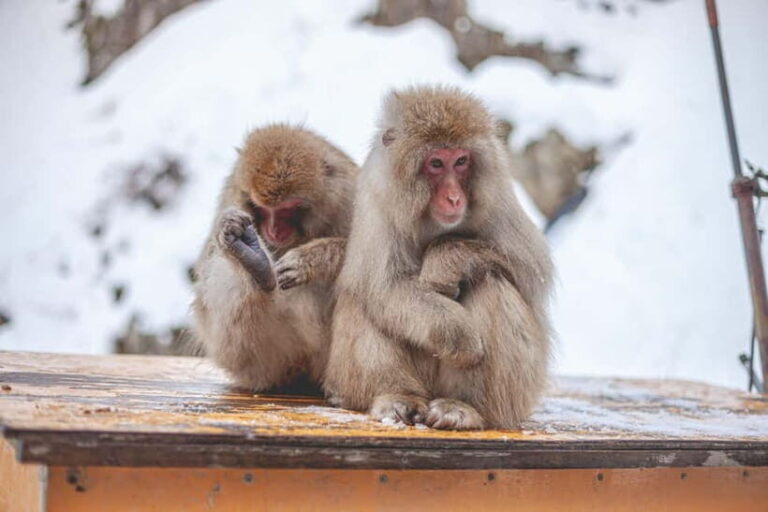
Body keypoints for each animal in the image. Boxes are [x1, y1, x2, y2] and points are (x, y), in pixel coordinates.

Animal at [191, 124, 357, 391]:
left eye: (288, 209)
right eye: (262, 208)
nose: (273, 230)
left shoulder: (350, 195)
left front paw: (309, 261)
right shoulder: (231, 195)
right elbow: (206, 262)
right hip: (255, 363)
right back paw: (254, 263)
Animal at [281, 87, 553, 430]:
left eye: (461, 161)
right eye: (436, 163)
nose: (454, 198)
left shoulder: (498, 198)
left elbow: (531, 270)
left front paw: (445, 260)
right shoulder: (377, 199)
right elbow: (384, 286)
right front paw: (460, 335)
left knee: (491, 281)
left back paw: (463, 407)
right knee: (365, 296)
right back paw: (397, 398)